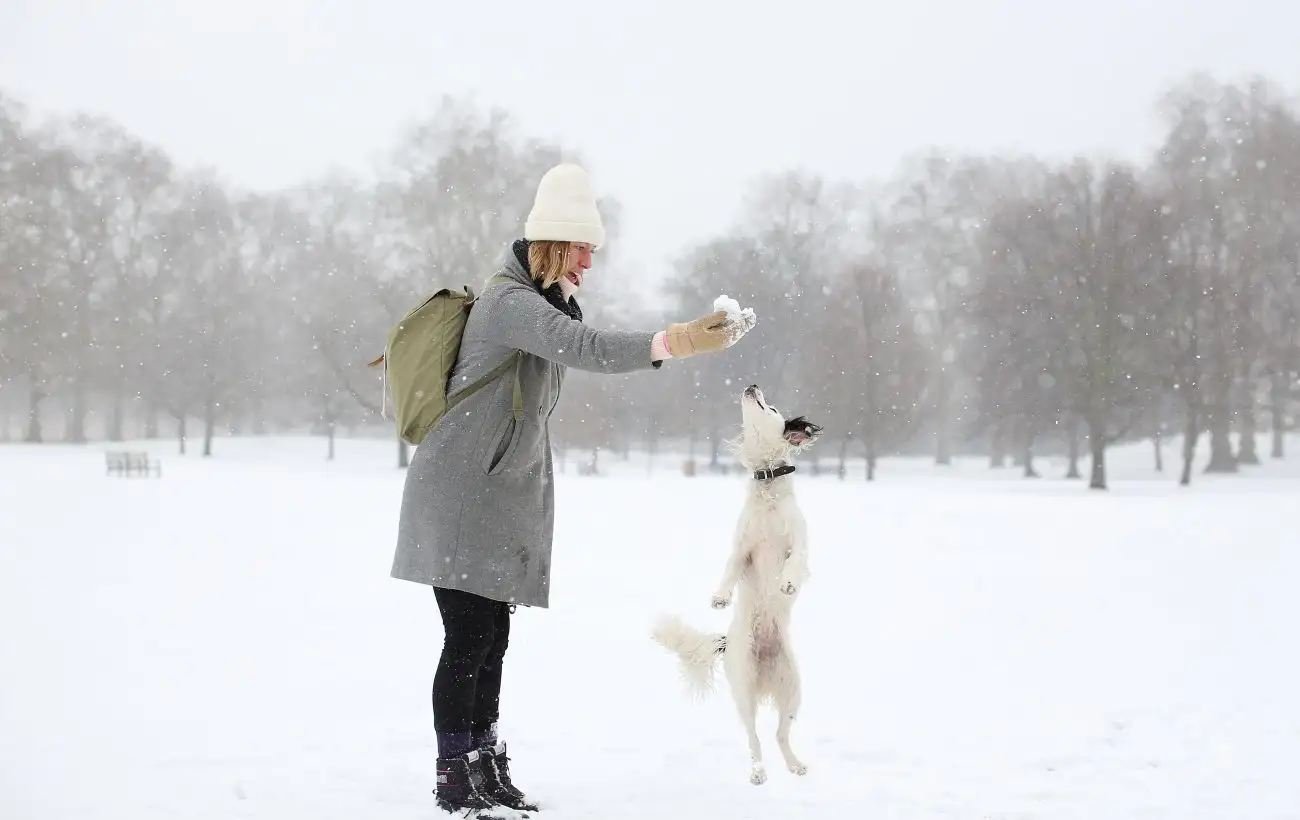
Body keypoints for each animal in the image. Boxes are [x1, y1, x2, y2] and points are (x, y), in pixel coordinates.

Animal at [650, 387, 821, 784]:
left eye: (772, 407)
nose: (752, 386)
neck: (768, 483)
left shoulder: (800, 545)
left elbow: (794, 562)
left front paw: (787, 583)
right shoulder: (742, 551)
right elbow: (728, 571)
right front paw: (719, 598)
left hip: (793, 690)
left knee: (780, 734)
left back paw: (794, 764)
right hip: (743, 689)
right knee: (754, 737)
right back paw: (758, 772)